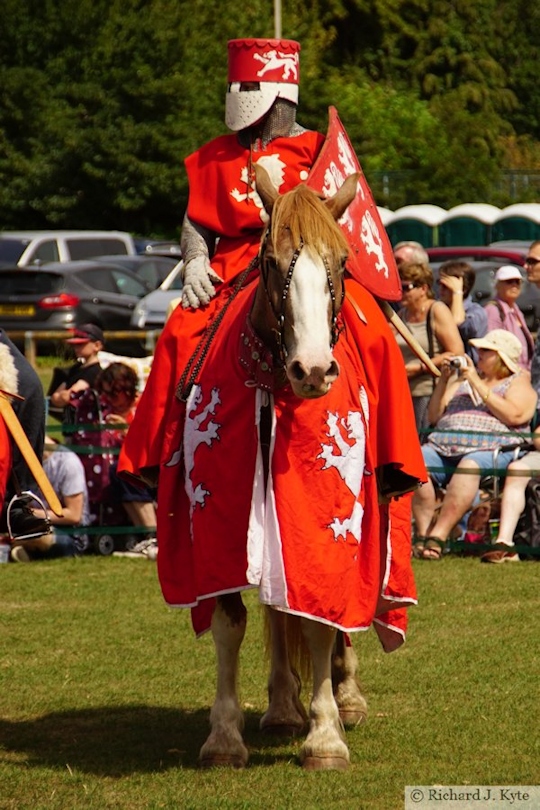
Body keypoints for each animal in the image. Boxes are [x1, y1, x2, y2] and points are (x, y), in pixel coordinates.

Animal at [198, 166, 372, 772]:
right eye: (271, 263)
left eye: (341, 261)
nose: (313, 370)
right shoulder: (220, 525)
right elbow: (231, 620)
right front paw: (225, 736)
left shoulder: (322, 523)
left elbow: (321, 617)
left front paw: (325, 737)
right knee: (276, 608)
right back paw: (280, 706)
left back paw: (346, 696)